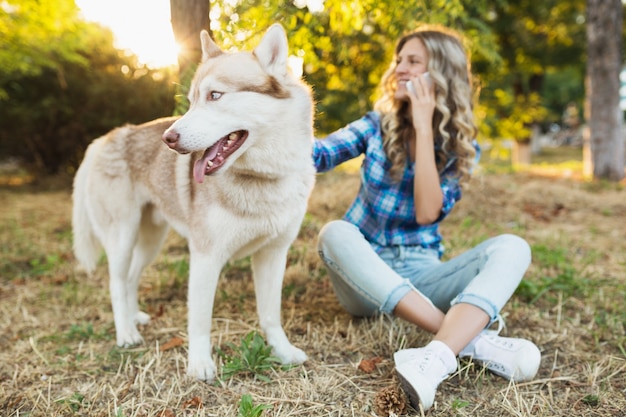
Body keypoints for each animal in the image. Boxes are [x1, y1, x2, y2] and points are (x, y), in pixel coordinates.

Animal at [72, 23, 314, 380]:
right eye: (190, 101)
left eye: (215, 96)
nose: (168, 139)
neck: (262, 177)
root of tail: (104, 139)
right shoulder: (205, 257)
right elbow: (199, 320)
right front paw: (199, 364)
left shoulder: (274, 253)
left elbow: (271, 314)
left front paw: (282, 352)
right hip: (122, 237)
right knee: (116, 282)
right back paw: (126, 332)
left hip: (151, 241)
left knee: (130, 278)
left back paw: (134, 317)